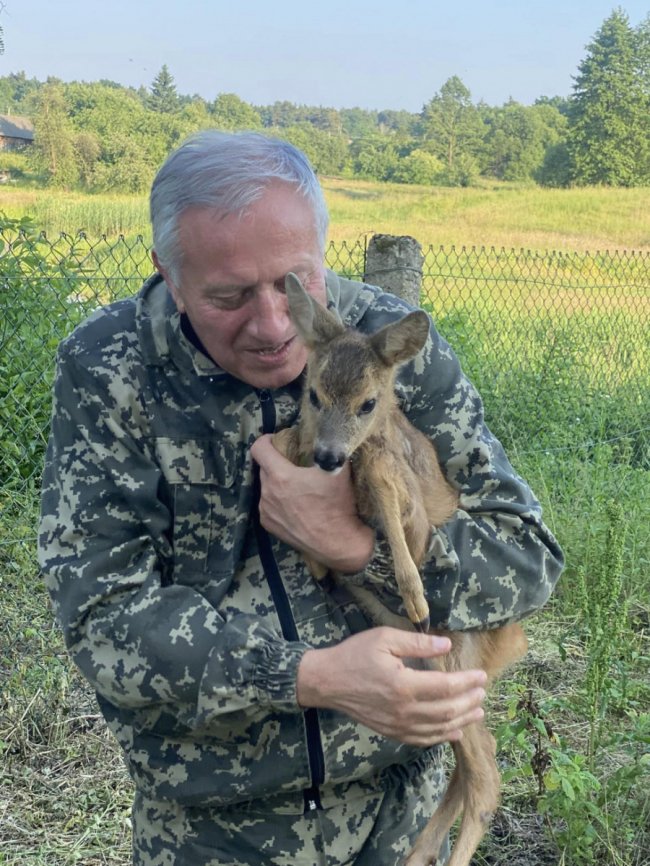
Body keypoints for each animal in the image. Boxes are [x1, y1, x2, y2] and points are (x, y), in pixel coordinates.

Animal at [272, 276, 528, 864]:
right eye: (313, 393)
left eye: (368, 402)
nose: (329, 456)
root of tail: (511, 641)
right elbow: (281, 442)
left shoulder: (399, 482)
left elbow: (384, 488)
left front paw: (413, 591)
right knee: (470, 764)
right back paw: (417, 853)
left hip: (455, 654)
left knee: (487, 774)